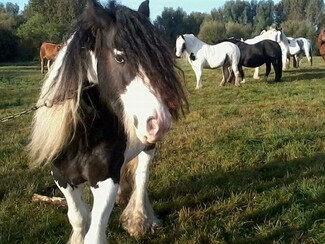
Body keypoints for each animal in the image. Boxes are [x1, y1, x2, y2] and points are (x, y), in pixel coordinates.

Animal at [29, 0, 189, 243]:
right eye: (119, 57)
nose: (159, 123)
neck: (83, 137)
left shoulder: (105, 180)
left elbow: (94, 232)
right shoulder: (61, 177)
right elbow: (78, 217)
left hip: (148, 147)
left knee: (141, 177)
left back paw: (139, 219)